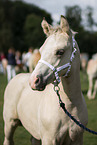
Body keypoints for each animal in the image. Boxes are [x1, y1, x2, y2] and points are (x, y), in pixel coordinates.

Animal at [3, 15, 88, 145]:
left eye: (60, 51)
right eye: (41, 50)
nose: (34, 81)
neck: (70, 106)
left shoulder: (77, 139)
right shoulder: (49, 139)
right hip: (9, 124)